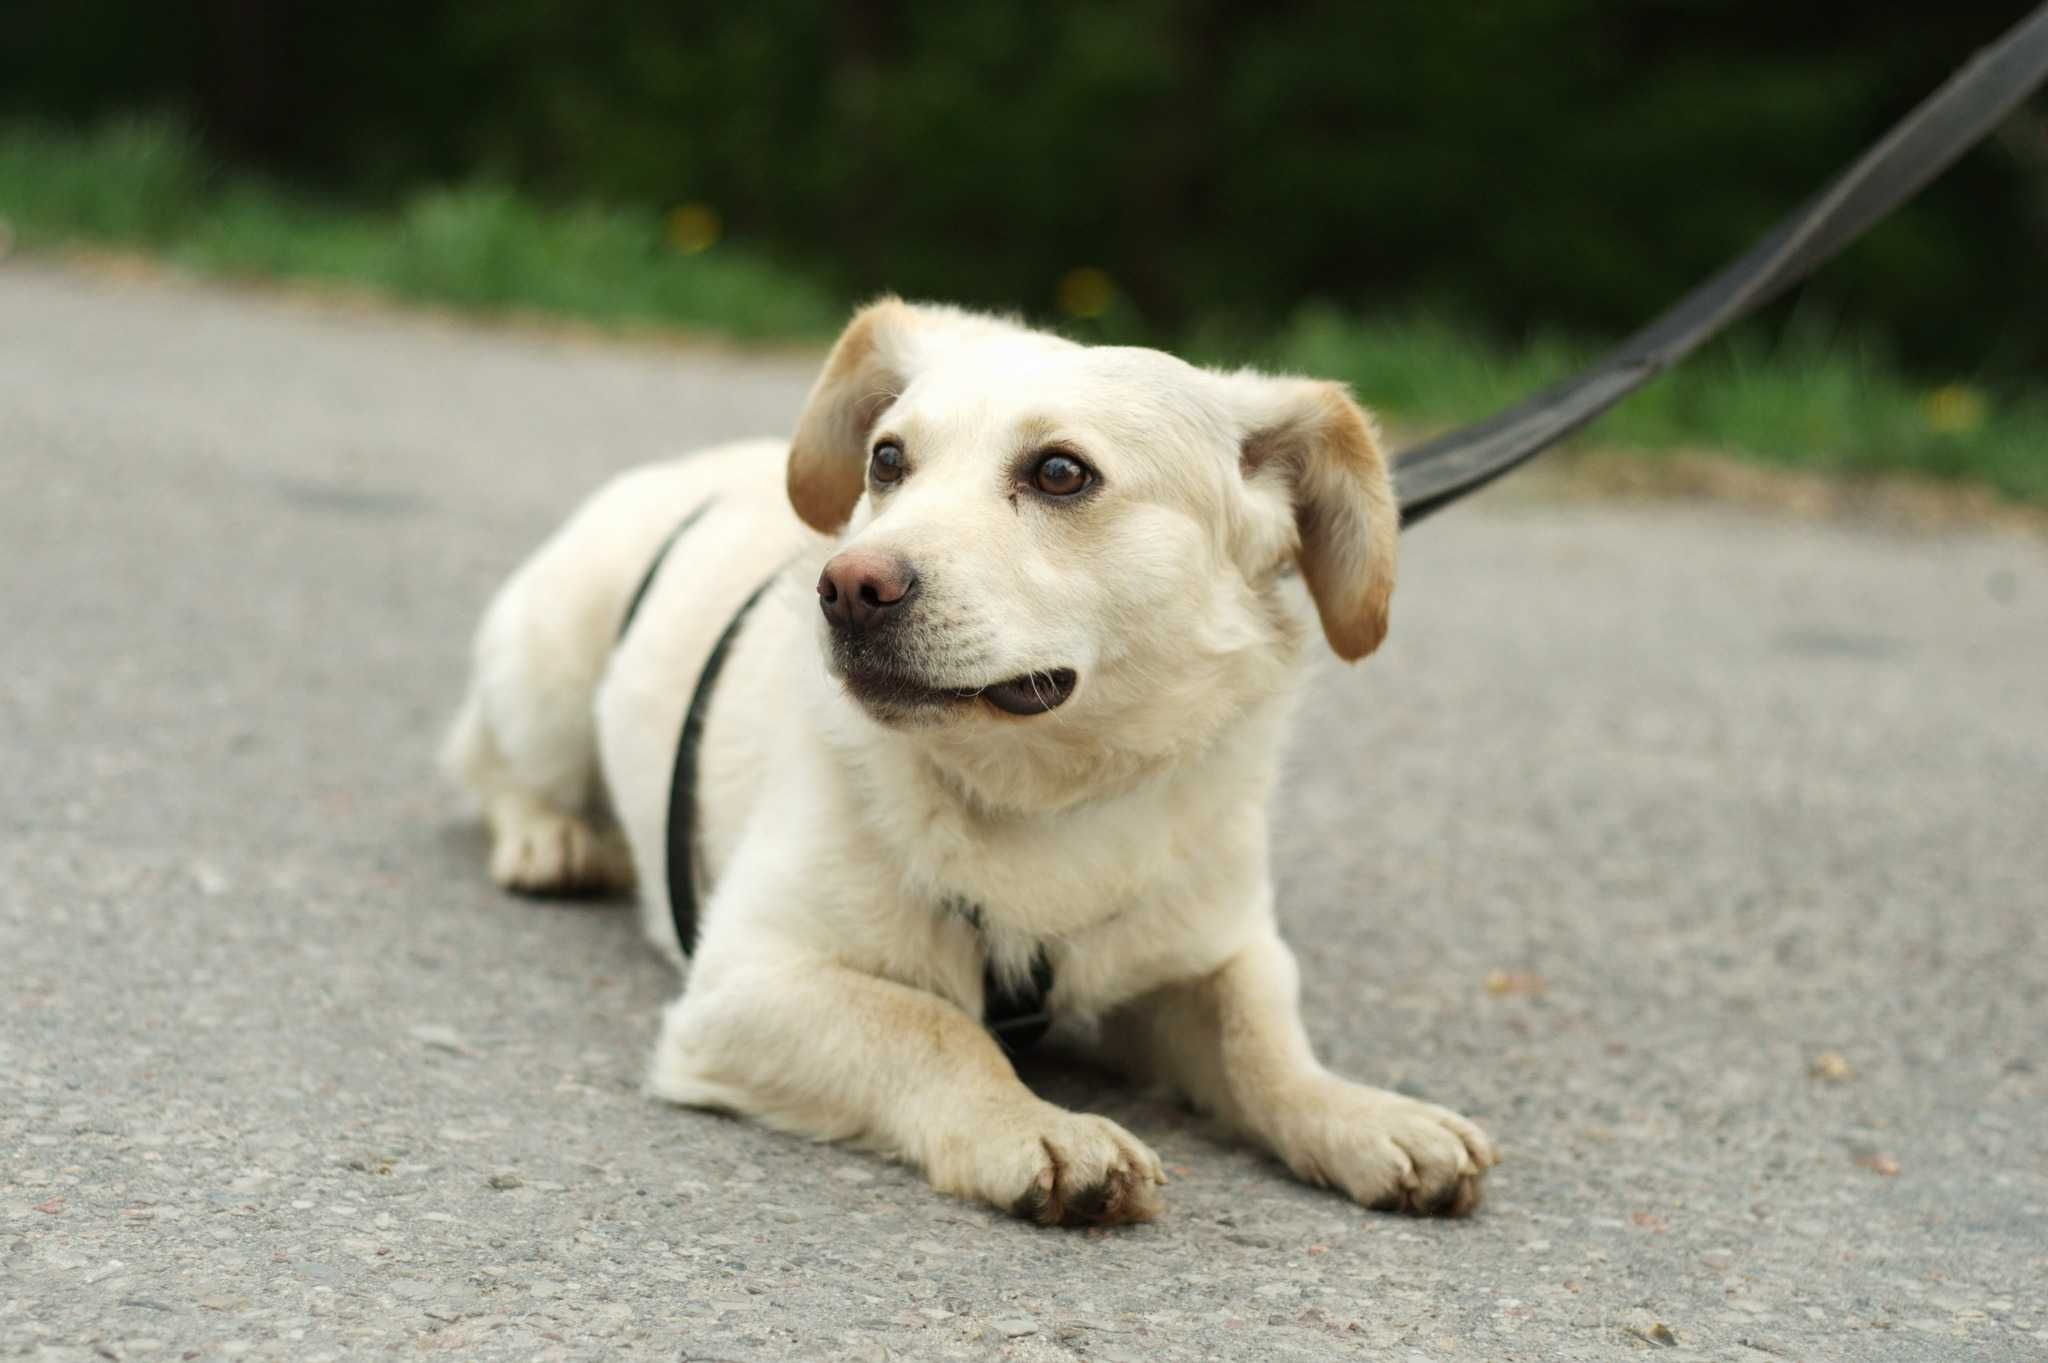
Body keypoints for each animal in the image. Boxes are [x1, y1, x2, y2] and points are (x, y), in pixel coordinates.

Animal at [440, 296, 1499, 1219]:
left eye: (1061, 472)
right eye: (887, 460)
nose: (847, 586)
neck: (1044, 798)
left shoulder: (1219, 948)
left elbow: (1263, 1042)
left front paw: (1361, 1114)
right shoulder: (744, 981)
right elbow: (934, 1027)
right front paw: (1034, 1127)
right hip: (548, 679)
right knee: (485, 766)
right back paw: (548, 840)